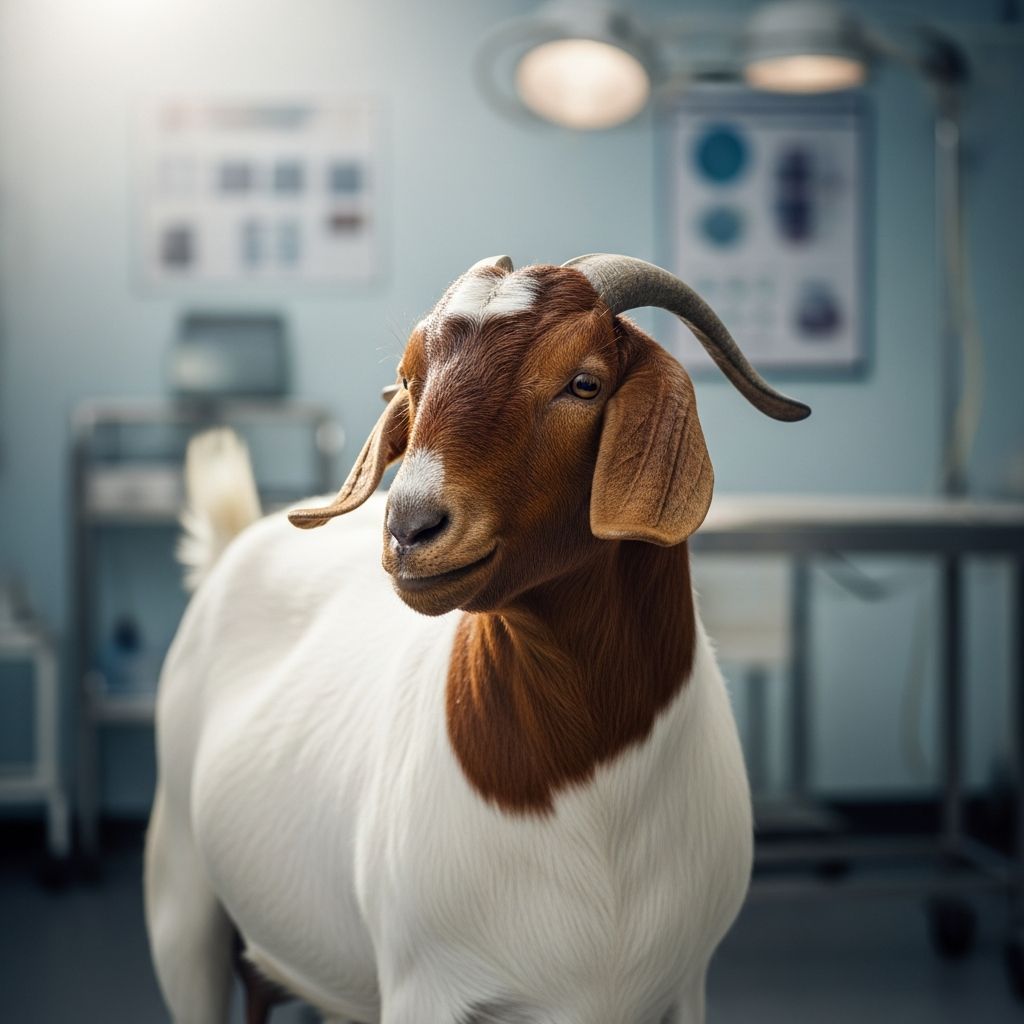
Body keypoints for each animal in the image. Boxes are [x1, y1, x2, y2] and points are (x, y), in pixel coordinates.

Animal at [144, 253, 809, 1024]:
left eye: (584, 383)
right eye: (410, 379)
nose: (408, 526)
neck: (592, 787)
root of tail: (231, 545)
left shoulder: (685, 986)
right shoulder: (424, 988)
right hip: (181, 898)